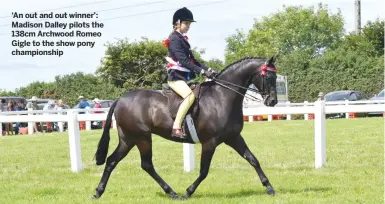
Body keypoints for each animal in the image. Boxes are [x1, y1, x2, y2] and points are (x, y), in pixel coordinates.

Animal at [94, 55, 280, 199]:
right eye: (270, 77)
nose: (272, 101)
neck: (222, 97)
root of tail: (120, 99)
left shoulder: (233, 137)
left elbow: (253, 159)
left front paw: (269, 187)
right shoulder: (210, 142)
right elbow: (204, 171)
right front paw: (188, 192)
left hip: (129, 139)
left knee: (113, 161)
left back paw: (98, 192)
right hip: (142, 138)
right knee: (146, 164)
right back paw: (172, 192)